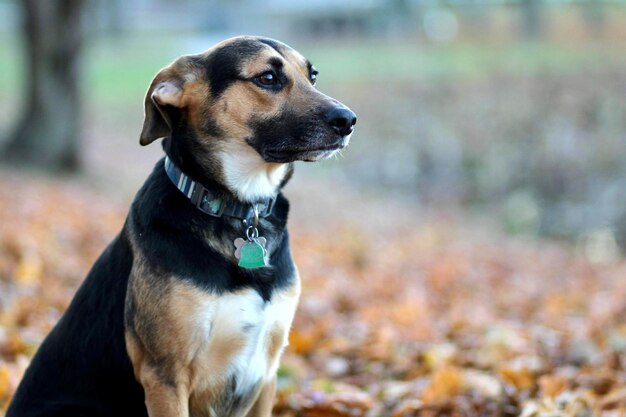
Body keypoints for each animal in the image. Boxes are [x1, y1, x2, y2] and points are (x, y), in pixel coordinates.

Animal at [7, 35, 356, 416]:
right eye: (267, 78)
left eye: (313, 76)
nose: (348, 120)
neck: (239, 211)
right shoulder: (165, 375)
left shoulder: (266, 374)